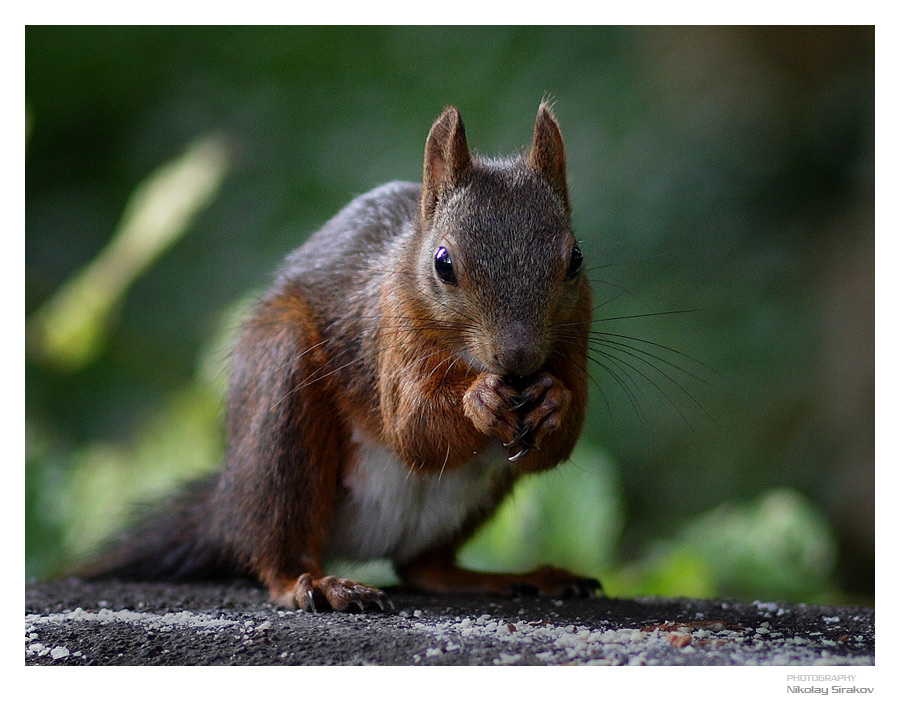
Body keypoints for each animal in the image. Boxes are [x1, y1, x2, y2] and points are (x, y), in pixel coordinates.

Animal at [82, 101, 596, 612]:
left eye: (575, 258)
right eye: (443, 263)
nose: (518, 357)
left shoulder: (575, 335)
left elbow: (558, 443)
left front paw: (553, 400)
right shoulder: (388, 332)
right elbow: (413, 428)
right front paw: (479, 400)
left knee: (424, 569)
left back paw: (515, 577)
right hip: (282, 403)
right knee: (278, 550)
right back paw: (312, 582)